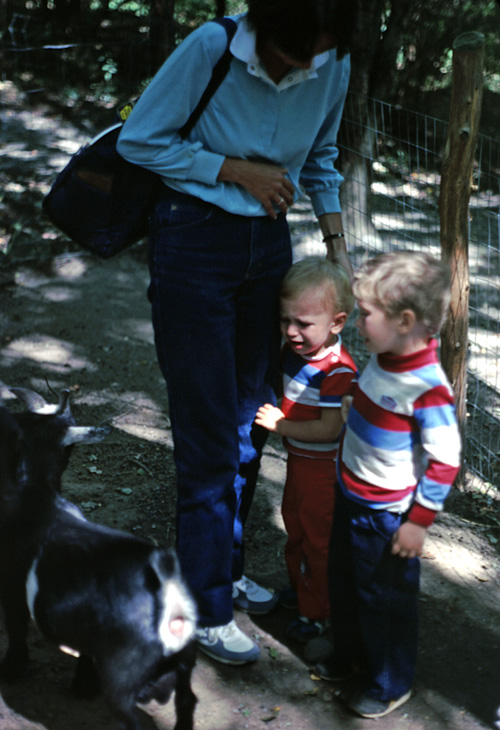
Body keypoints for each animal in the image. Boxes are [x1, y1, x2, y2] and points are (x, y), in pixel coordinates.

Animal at [0, 384, 198, 724]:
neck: (37, 494)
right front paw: (82, 685)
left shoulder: (12, 584)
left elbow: (15, 626)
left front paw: (12, 669)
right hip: (181, 663)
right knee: (185, 701)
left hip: (123, 674)